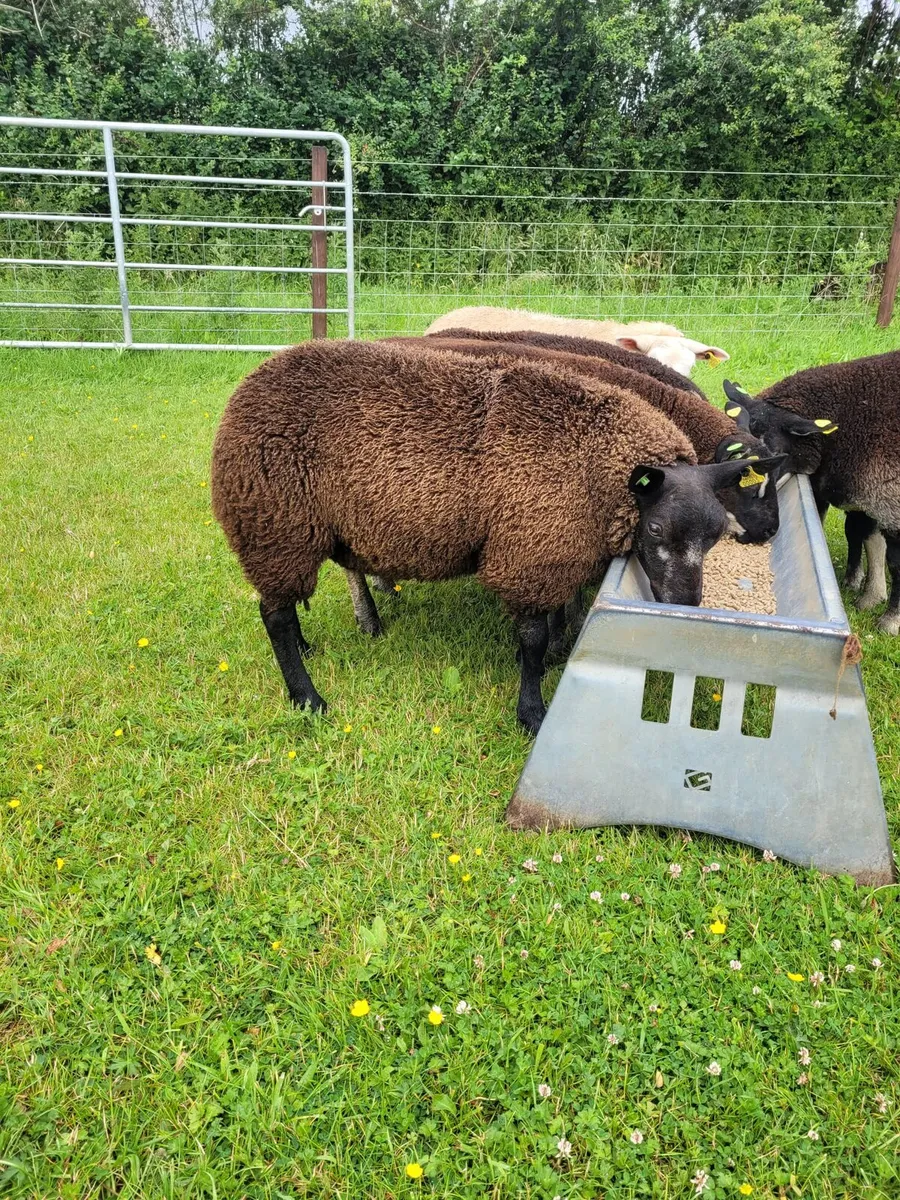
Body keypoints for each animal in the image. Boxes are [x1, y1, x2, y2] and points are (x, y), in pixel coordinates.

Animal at [211, 340, 777, 733]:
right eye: (655, 527)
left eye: (714, 536)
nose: (686, 605)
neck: (593, 464)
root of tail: (245, 389)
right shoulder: (532, 551)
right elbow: (532, 638)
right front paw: (532, 711)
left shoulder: (558, 550)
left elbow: (552, 624)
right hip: (275, 525)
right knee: (274, 615)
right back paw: (307, 697)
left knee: (287, 602)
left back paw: (311, 648)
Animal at [721, 350, 900, 633]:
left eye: (776, 453)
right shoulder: (864, 497)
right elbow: (861, 535)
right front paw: (865, 591)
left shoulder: (889, 500)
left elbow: (893, 561)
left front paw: (890, 621)